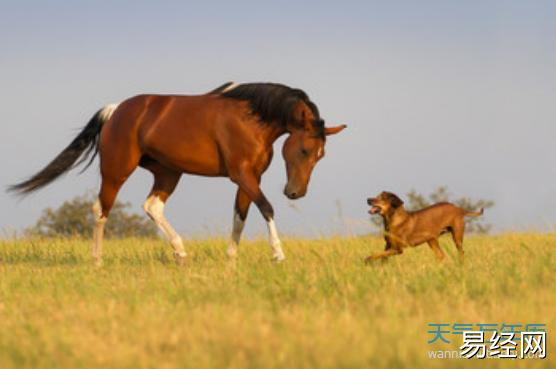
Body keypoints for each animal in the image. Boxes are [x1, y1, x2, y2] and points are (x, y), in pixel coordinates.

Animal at [8, 82, 346, 264]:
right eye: (304, 150)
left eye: (321, 155)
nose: (296, 192)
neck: (251, 118)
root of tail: (116, 110)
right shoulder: (242, 175)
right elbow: (267, 208)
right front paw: (278, 255)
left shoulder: (250, 179)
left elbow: (240, 215)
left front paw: (231, 260)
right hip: (116, 171)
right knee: (100, 209)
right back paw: (97, 260)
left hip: (168, 173)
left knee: (152, 207)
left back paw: (180, 253)